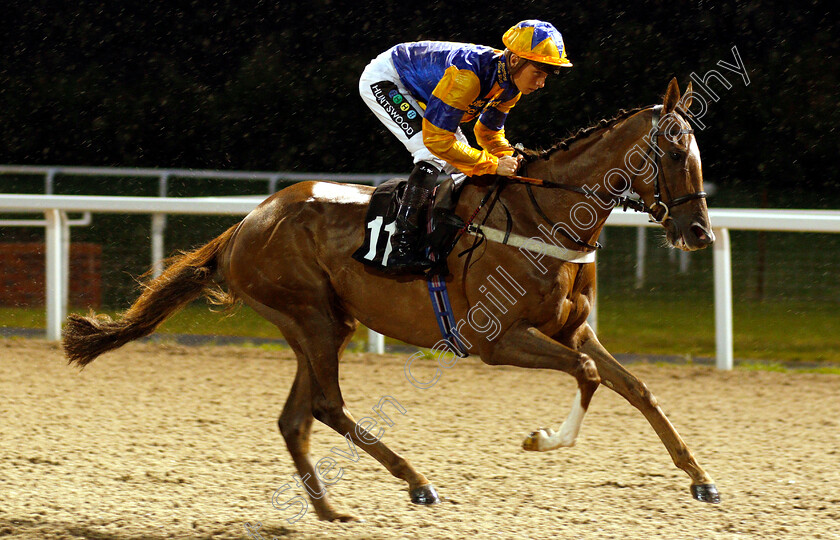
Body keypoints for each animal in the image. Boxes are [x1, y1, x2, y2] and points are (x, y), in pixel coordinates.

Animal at [62, 78, 720, 520]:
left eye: (698, 154)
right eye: (671, 153)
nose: (698, 233)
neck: (546, 215)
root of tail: (246, 224)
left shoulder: (572, 328)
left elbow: (637, 387)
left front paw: (701, 478)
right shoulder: (498, 340)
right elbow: (587, 374)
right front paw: (543, 439)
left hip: (324, 324)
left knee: (297, 416)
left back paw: (329, 510)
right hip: (311, 316)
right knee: (326, 406)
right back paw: (416, 481)